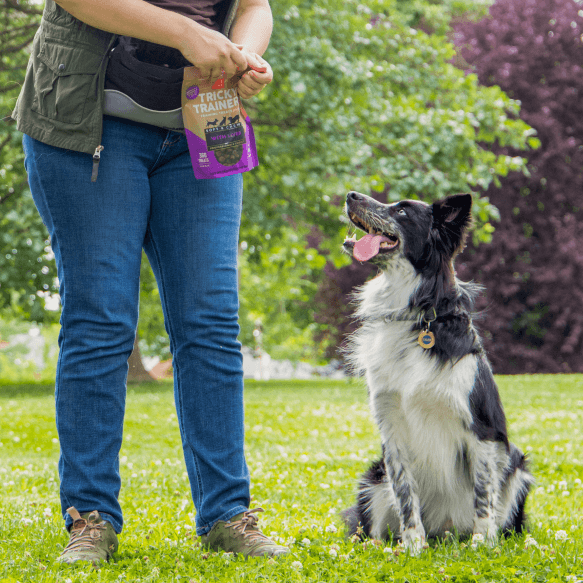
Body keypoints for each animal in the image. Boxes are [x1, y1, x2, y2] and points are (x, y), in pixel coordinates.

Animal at [340, 193, 536, 556]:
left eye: (402, 210)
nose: (351, 195)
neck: (417, 316)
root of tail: (445, 531)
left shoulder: (481, 430)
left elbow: (483, 496)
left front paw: (482, 543)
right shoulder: (392, 431)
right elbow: (405, 494)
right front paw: (413, 547)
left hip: (516, 466)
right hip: (374, 476)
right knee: (371, 528)